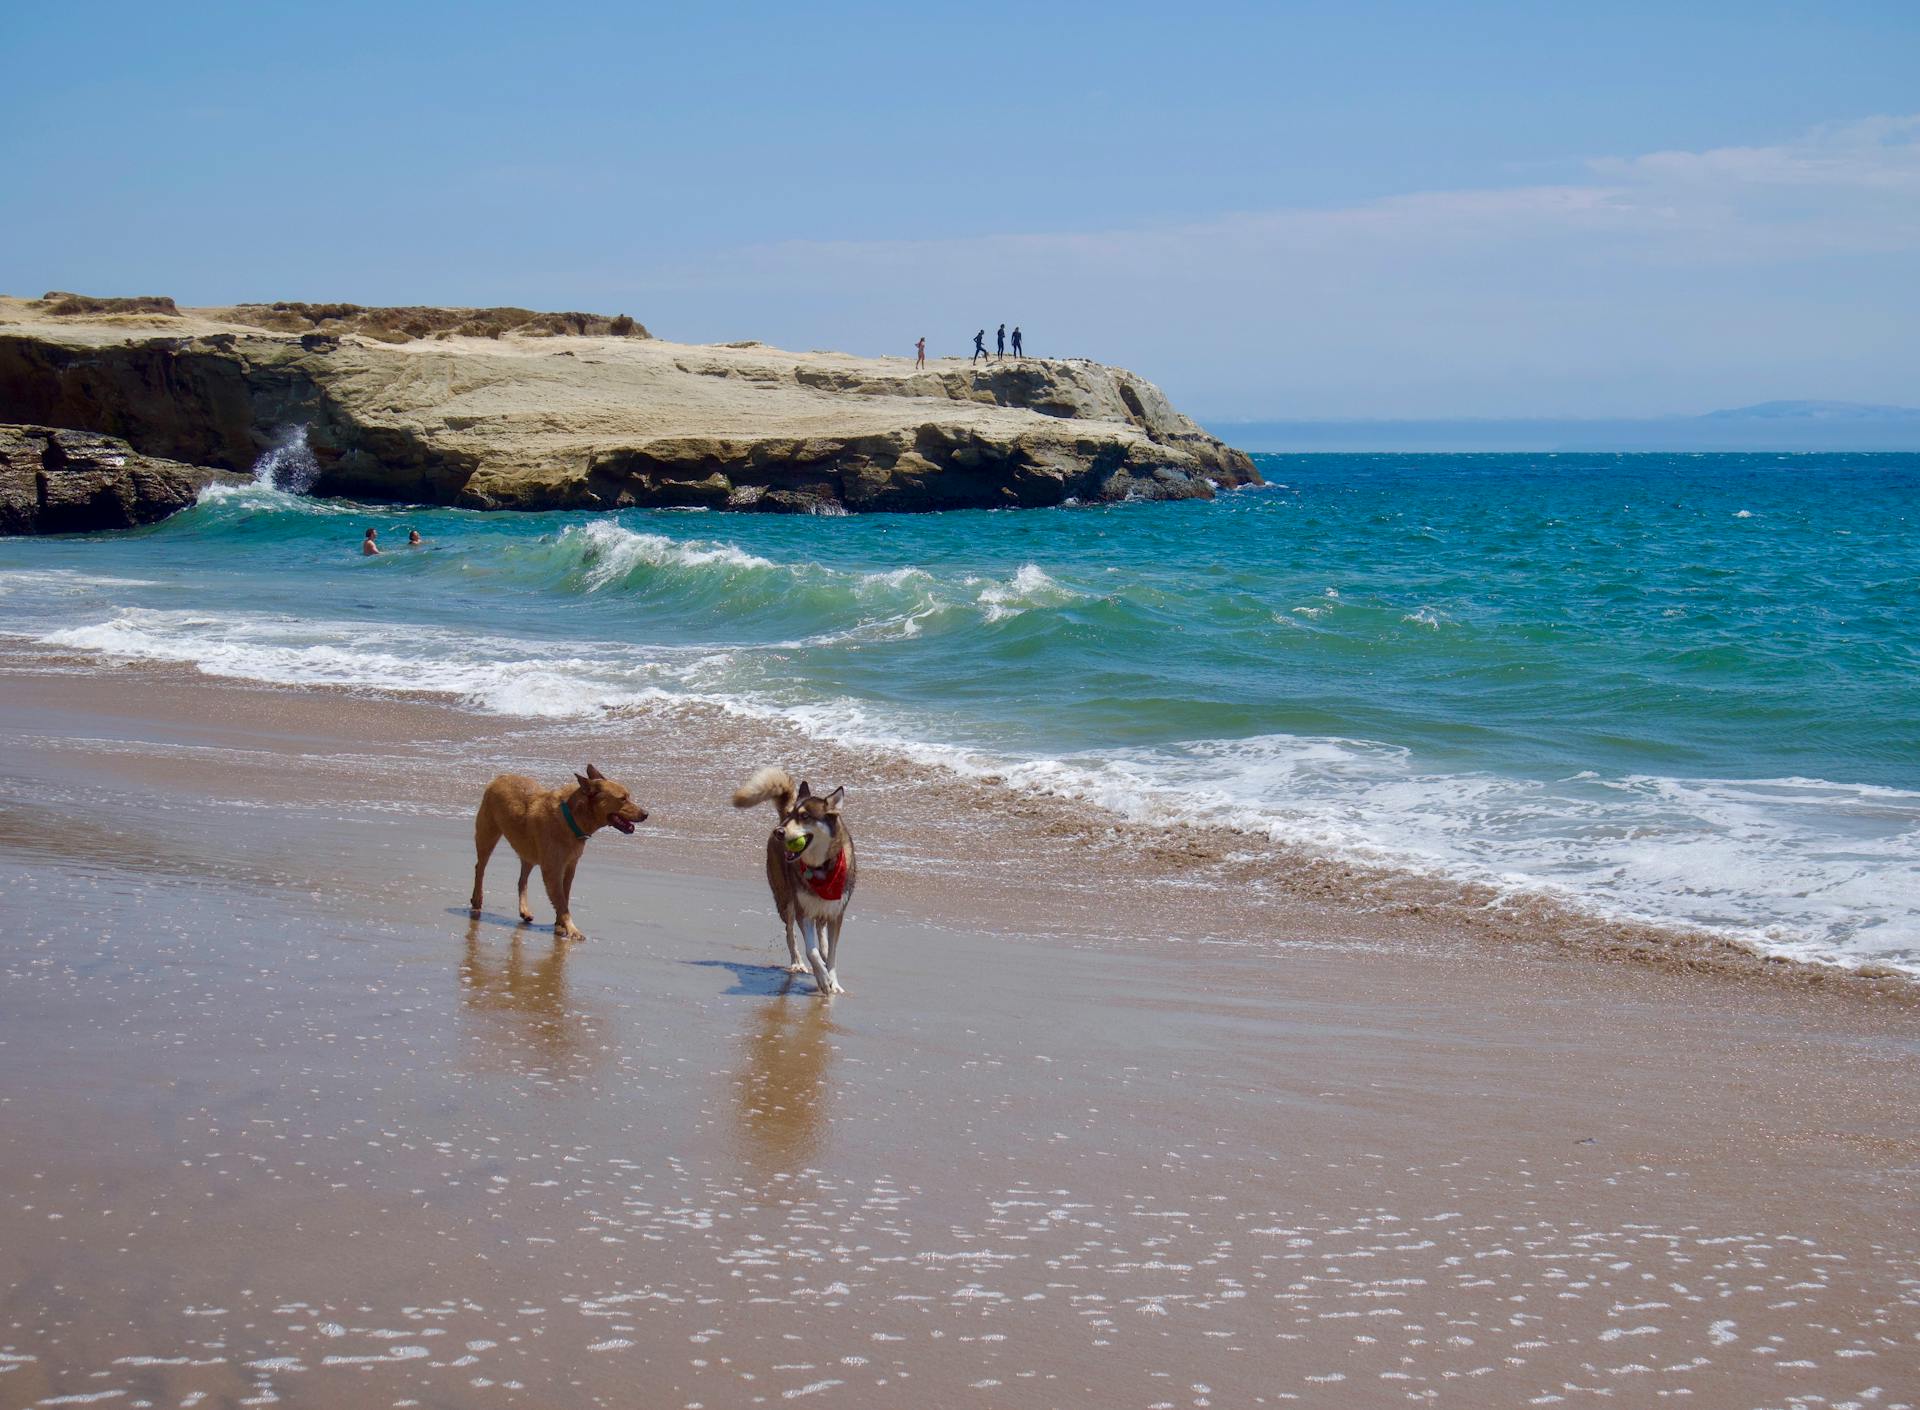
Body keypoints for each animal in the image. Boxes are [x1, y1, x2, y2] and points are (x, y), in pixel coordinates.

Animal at [468, 768, 648, 945]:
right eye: (622, 798)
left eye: (628, 796)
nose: (646, 813)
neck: (572, 819)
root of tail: (500, 777)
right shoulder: (552, 870)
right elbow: (562, 903)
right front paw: (572, 930)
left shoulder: (570, 866)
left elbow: (565, 897)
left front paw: (560, 925)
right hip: (488, 834)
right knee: (480, 868)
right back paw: (477, 900)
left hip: (529, 851)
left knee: (522, 880)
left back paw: (524, 910)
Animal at [729, 772, 860, 991]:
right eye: (792, 815)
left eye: (805, 816)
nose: (779, 832)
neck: (820, 868)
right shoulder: (802, 911)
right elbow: (810, 950)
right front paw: (823, 978)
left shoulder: (837, 914)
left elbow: (832, 954)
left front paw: (832, 981)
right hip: (785, 901)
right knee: (790, 933)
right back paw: (797, 963)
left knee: (821, 929)